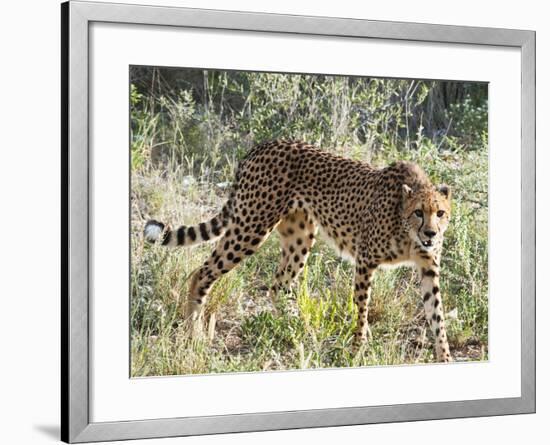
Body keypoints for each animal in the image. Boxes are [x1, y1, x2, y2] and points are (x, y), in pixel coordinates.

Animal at [144, 139, 454, 360]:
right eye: (418, 212)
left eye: (440, 213)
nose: (431, 233)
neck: (406, 229)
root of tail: (264, 144)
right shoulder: (365, 260)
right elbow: (362, 308)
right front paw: (358, 349)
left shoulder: (428, 267)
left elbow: (437, 315)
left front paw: (445, 358)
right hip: (251, 226)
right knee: (202, 272)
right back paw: (193, 333)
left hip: (300, 234)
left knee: (279, 284)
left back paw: (300, 330)